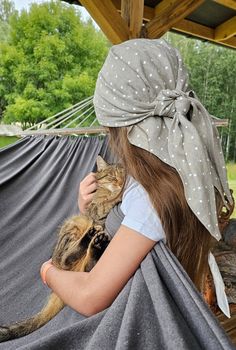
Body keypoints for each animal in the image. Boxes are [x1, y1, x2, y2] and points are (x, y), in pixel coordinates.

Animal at [0, 156, 125, 342]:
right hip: (74, 224)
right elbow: (105, 203)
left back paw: (96, 244)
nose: (120, 182)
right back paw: (90, 237)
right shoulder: (96, 210)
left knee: (88, 267)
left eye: (123, 176)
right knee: (65, 259)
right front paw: (116, 196)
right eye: (111, 176)